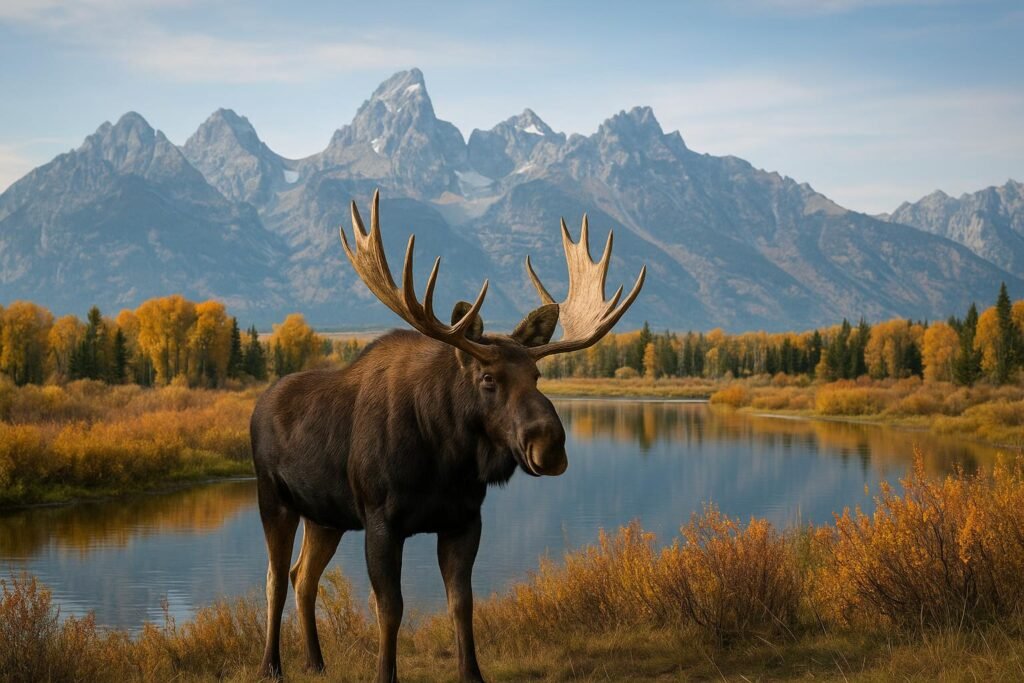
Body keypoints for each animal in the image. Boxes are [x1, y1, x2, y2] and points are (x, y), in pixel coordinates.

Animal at [250, 190, 644, 682]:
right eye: (488, 377)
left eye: (536, 375)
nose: (550, 445)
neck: (445, 458)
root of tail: (259, 405)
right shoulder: (381, 519)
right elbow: (390, 609)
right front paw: (385, 674)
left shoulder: (464, 519)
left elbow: (462, 604)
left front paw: (472, 673)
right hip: (274, 499)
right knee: (274, 579)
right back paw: (271, 665)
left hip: (325, 516)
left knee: (302, 576)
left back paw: (317, 662)